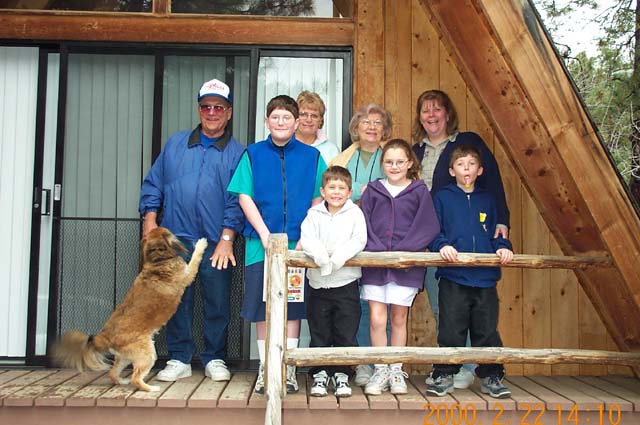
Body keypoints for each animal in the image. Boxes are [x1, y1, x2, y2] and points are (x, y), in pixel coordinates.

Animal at [53, 229, 208, 390]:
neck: (157, 261)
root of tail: (104, 337)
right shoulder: (188, 274)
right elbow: (195, 258)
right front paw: (201, 244)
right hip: (147, 354)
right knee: (136, 378)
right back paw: (151, 388)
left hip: (124, 357)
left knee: (113, 373)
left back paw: (122, 381)